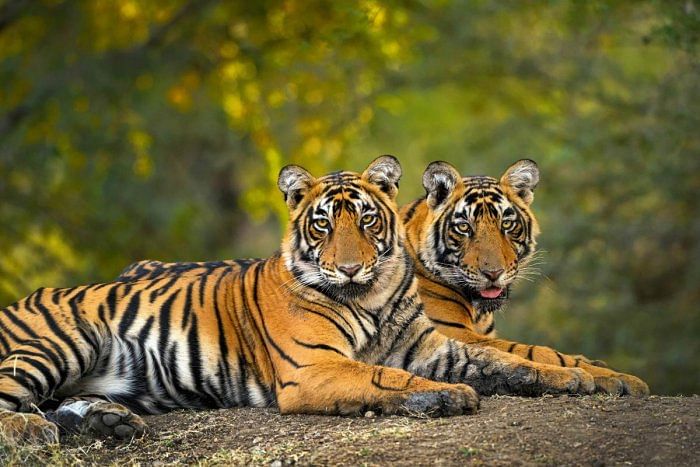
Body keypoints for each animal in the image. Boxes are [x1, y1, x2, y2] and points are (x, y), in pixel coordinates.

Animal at [0, 155, 596, 444]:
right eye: (323, 223)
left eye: (367, 219)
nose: (351, 266)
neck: (371, 294)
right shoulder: (314, 367)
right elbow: (385, 377)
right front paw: (446, 396)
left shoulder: (436, 347)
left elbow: (511, 359)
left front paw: (577, 378)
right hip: (58, 342)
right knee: (14, 403)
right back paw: (36, 430)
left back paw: (107, 423)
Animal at [400, 159, 652, 396]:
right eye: (464, 227)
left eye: (507, 224)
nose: (493, 273)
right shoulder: (450, 332)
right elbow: (536, 351)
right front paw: (617, 377)